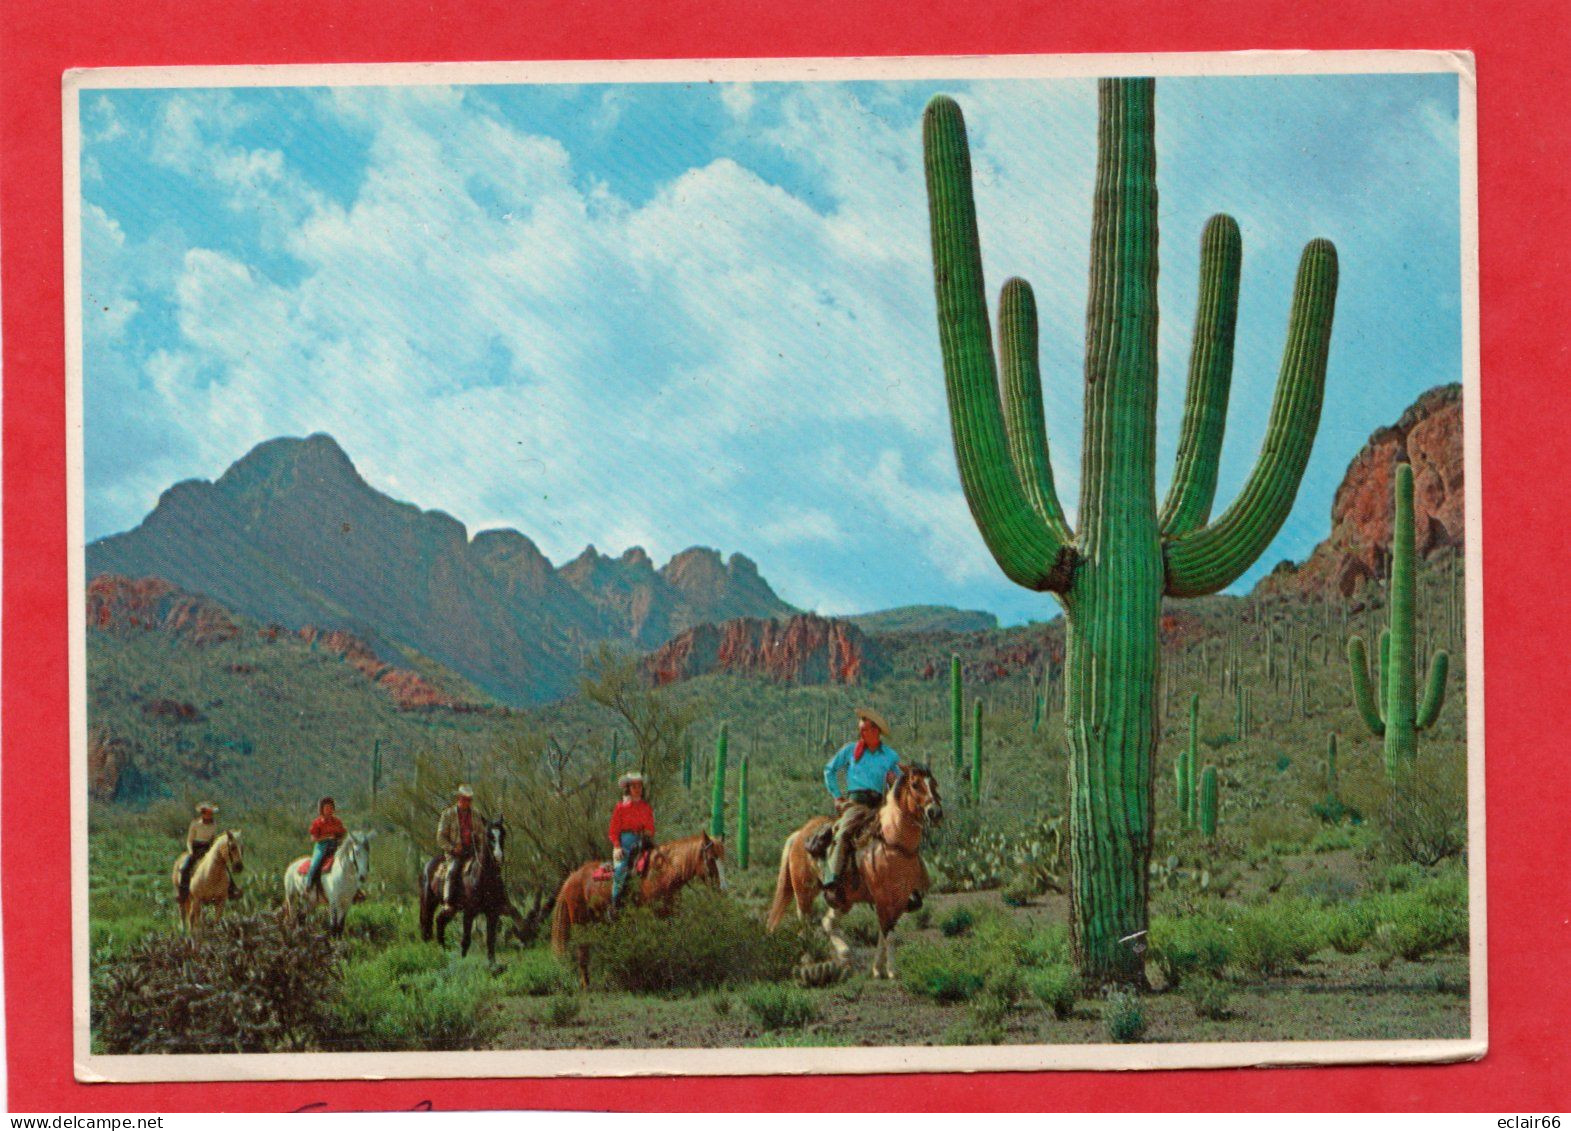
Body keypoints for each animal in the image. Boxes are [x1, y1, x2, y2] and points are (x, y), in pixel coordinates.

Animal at [417, 810, 546, 961]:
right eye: (489, 835)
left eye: (503, 833)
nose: (498, 857)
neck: (483, 878)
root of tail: (428, 865)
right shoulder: (469, 912)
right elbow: (466, 941)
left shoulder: (493, 912)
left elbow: (491, 941)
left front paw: (492, 964)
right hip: (428, 902)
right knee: (427, 927)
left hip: (452, 909)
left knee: (440, 921)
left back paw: (444, 951)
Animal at [549, 829, 725, 992]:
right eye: (711, 858)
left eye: (724, 858)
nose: (722, 888)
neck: (662, 874)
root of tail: (572, 877)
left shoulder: (670, 917)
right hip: (582, 923)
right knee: (583, 953)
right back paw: (587, 986)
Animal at [763, 763, 936, 973]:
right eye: (915, 784)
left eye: (934, 784)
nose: (935, 811)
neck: (893, 842)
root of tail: (799, 835)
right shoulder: (883, 897)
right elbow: (888, 932)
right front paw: (891, 971)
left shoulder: (900, 898)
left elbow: (886, 930)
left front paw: (879, 969)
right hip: (804, 892)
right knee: (805, 923)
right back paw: (810, 960)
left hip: (844, 898)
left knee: (828, 922)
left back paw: (844, 955)